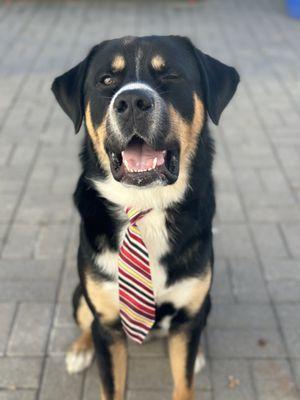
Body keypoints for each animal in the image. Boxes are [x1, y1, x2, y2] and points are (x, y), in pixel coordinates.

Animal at [51, 34, 239, 400]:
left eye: (171, 75)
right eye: (106, 80)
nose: (133, 101)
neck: (145, 204)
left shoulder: (189, 310)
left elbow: (184, 382)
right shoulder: (108, 325)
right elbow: (111, 384)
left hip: (203, 304)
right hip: (82, 296)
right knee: (85, 320)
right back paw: (80, 349)